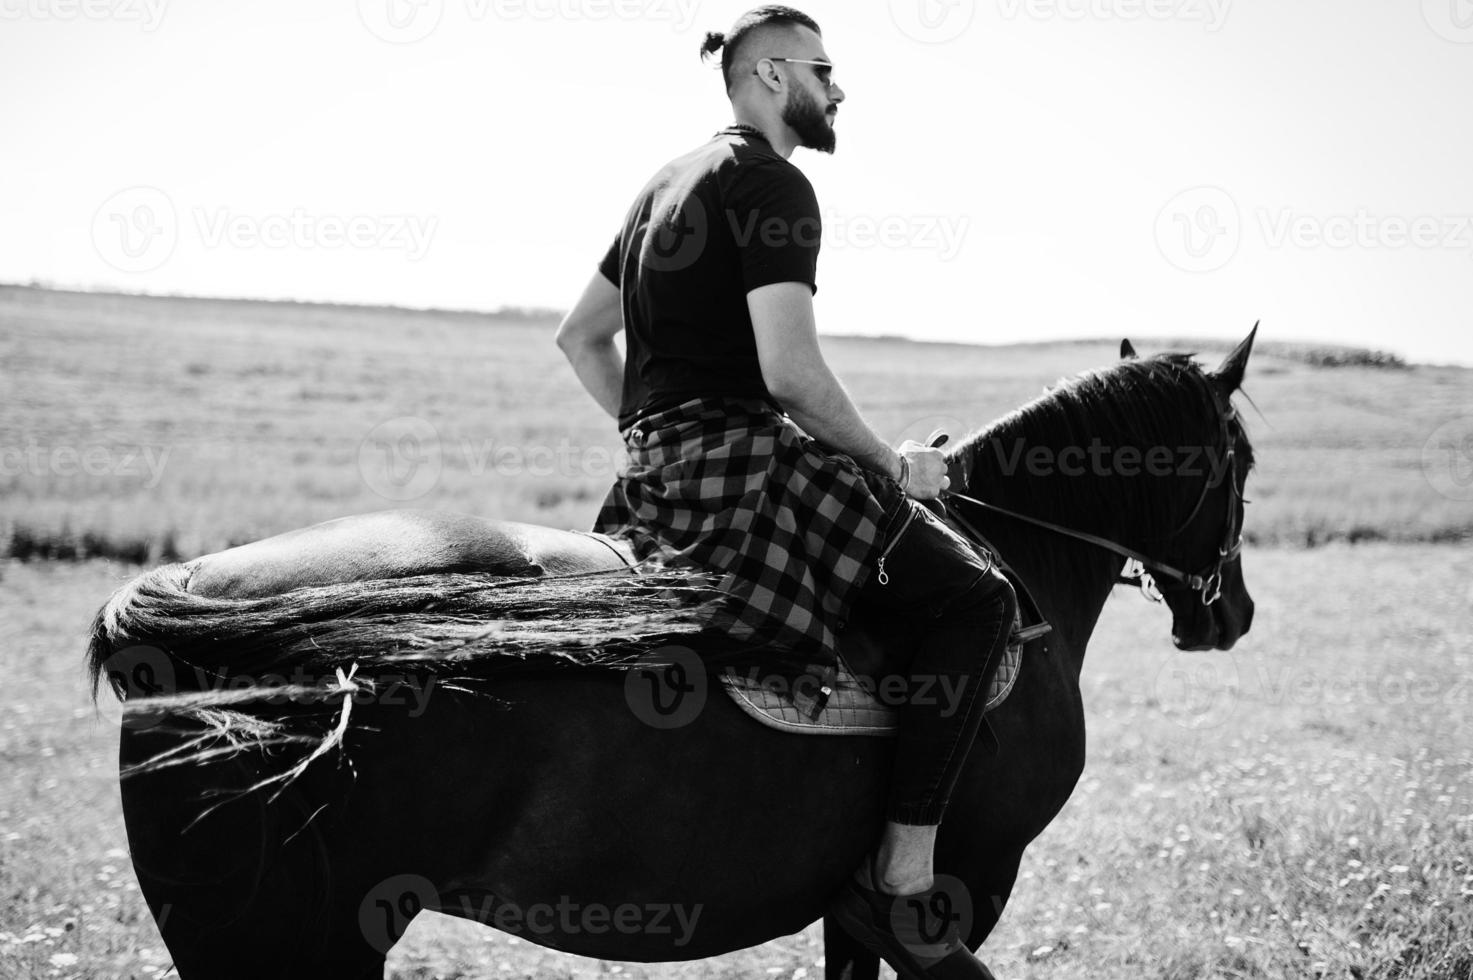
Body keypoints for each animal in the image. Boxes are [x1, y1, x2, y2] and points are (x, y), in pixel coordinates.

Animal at [89, 333, 1254, 972]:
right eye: (1239, 457)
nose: (1229, 613)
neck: (1014, 556)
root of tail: (195, 589)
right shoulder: (969, 875)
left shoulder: (851, 913)